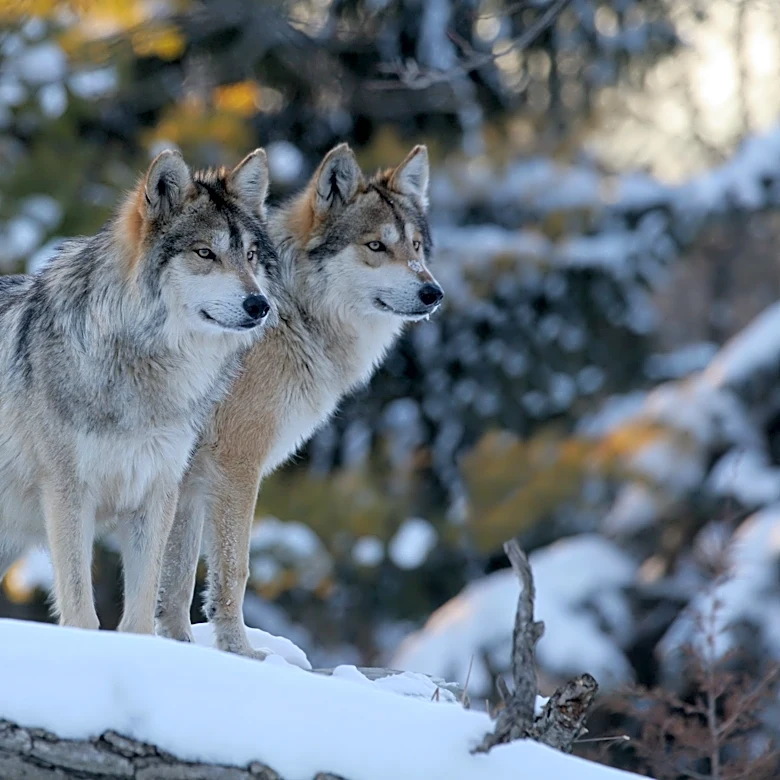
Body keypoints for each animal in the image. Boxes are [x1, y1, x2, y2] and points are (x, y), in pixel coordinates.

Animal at [0, 148, 278, 634]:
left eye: (249, 254)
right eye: (205, 253)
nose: (259, 305)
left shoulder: (157, 493)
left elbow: (141, 613)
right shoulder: (68, 494)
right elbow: (81, 613)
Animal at [156, 143, 444, 658]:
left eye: (415, 246)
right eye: (375, 246)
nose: (433, 292)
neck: (294, 314)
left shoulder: (188, 478)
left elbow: (175, 582)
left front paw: (180, 648)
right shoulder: (236, 464)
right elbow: (234, 570)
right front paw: (241, 653)